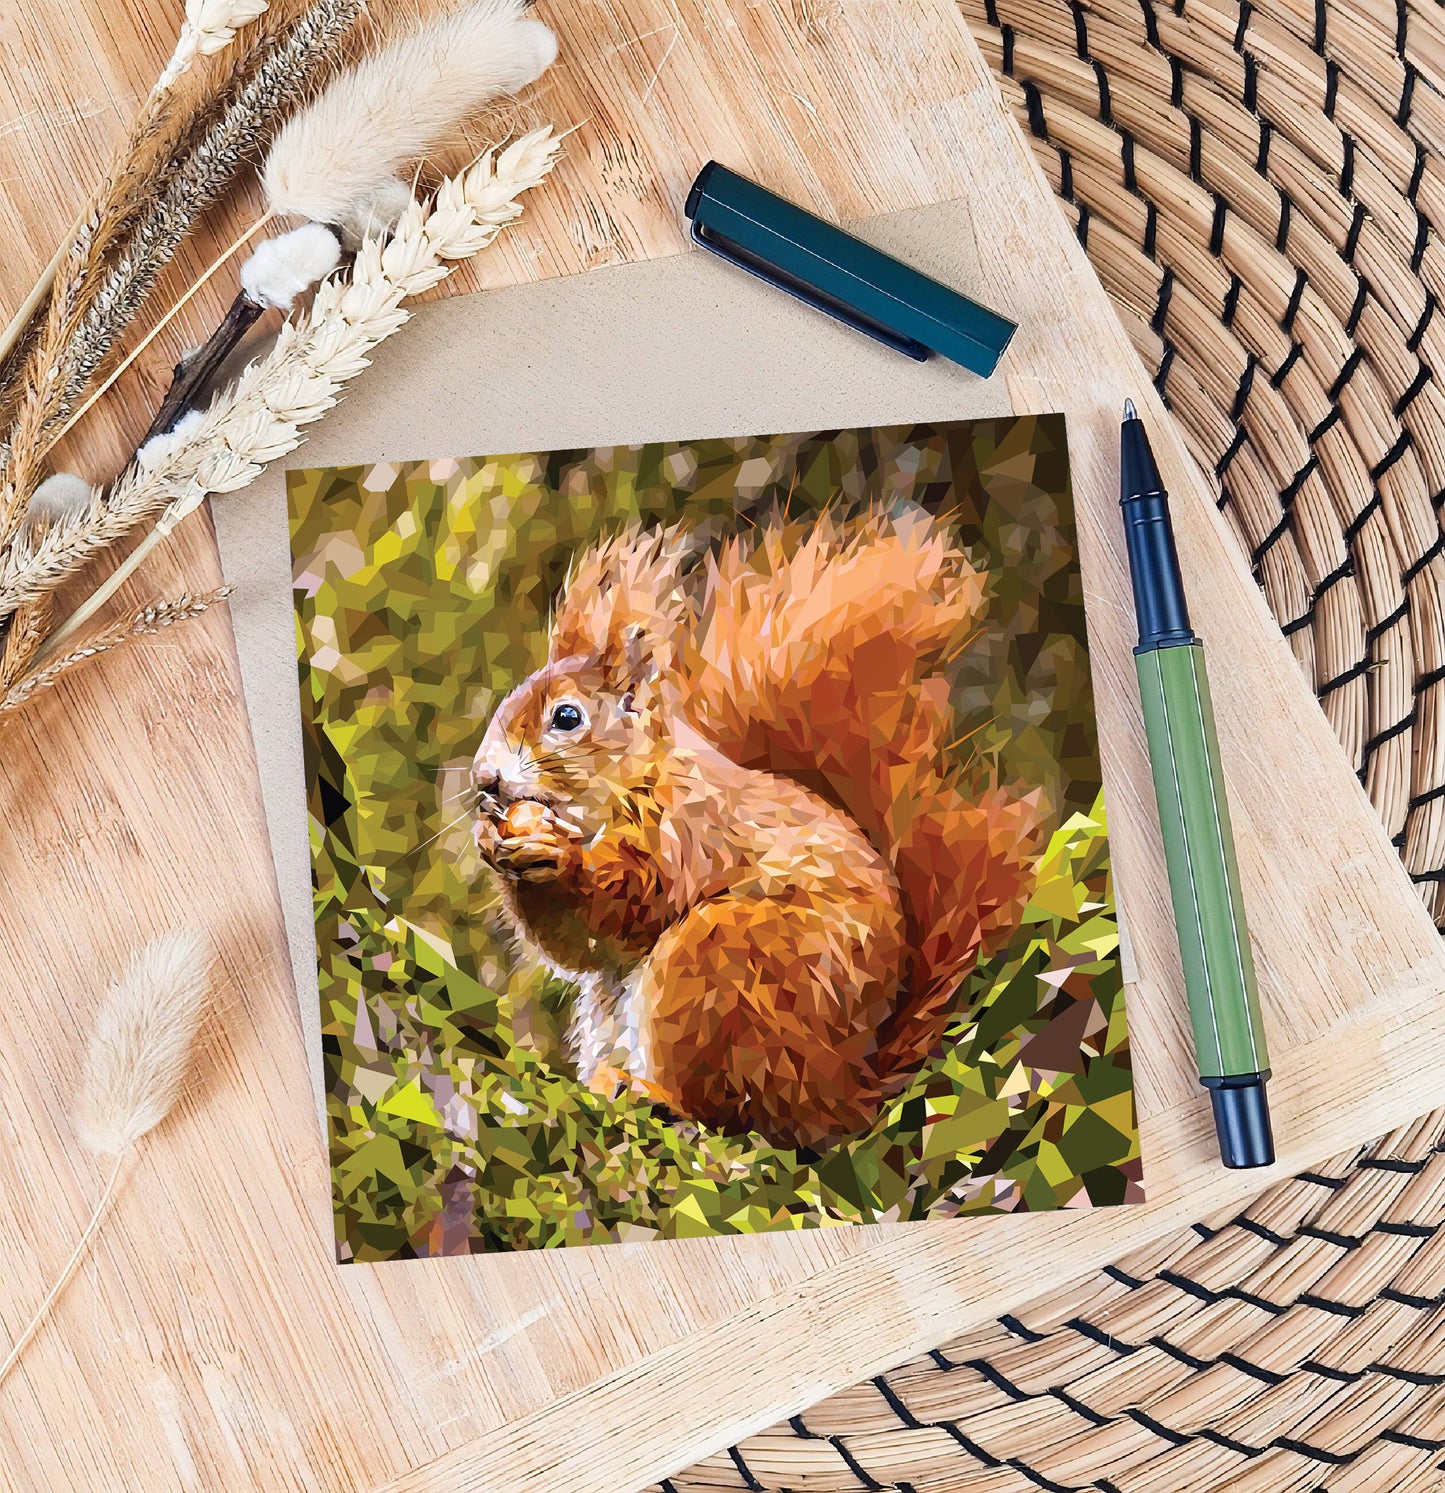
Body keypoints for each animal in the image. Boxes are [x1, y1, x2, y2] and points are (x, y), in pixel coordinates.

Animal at [470, 509, 1043, 1150]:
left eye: (566, 718)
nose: (484, 779)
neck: (629, 784)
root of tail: (841, 1096)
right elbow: (578, 945)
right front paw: (492, 843)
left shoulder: (688, 832)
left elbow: (628, 903)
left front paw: (558, 857)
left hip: (719, 969)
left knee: (725, 1110)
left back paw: (653, 1094)